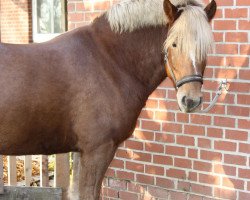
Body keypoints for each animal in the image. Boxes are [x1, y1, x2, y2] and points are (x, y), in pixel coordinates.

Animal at [0, 0, 216, 199]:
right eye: (174, 43)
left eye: (205, 47)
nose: (191, 100)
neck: (109, 60)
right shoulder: (97, 151)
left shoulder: (80, 152)